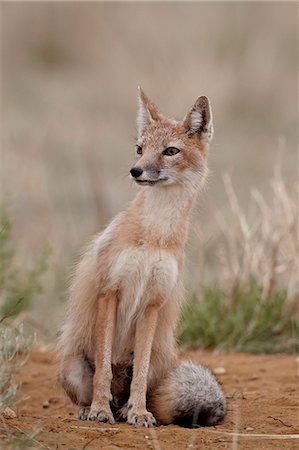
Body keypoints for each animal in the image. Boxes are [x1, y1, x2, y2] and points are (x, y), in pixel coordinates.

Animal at [57, 86, 227, 428]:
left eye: (170, 151)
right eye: (139, 149)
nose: (135, 171)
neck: (154, 236)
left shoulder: (152, 303)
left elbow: (140, 373)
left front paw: (138, 412)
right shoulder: (110, 292)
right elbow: (104, 370)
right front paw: (99, 410)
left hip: (160, 362)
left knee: (139, 383)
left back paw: (125, 410)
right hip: (72, 366)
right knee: (92, 390)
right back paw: (92, 409)